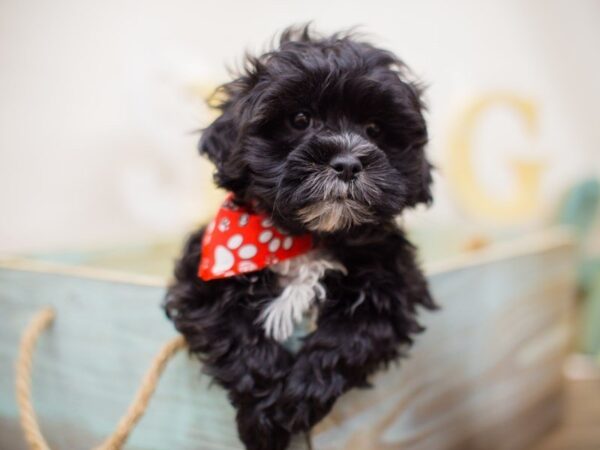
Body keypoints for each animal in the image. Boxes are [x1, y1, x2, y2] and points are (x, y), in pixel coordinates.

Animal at [164, 25, 436, 450]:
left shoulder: (394, 287)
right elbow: (236, 335)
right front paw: (264, 415)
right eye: (300, 119)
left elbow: (348, 338)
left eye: (375, 130)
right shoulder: (201, 279)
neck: (304, 236)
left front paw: (295, 399)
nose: (347, 163)